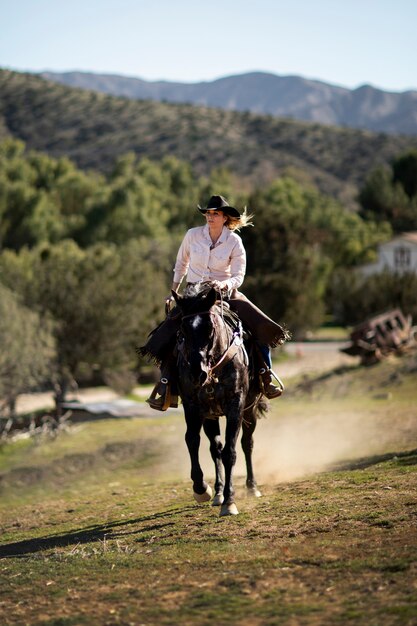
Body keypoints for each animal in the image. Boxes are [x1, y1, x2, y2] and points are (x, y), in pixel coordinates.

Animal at [171, 284, 266, 516]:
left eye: (210, 327)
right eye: (182, 331)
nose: (197, 373)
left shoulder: (236, 406)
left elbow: (230, 451)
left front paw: (230, 502)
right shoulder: (194, 406)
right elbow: (192, 440)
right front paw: (201, 488)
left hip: (249, 410)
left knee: (247, 443)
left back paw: (251, 487)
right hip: (211, 416)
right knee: (215, 448)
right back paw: (218, 492)